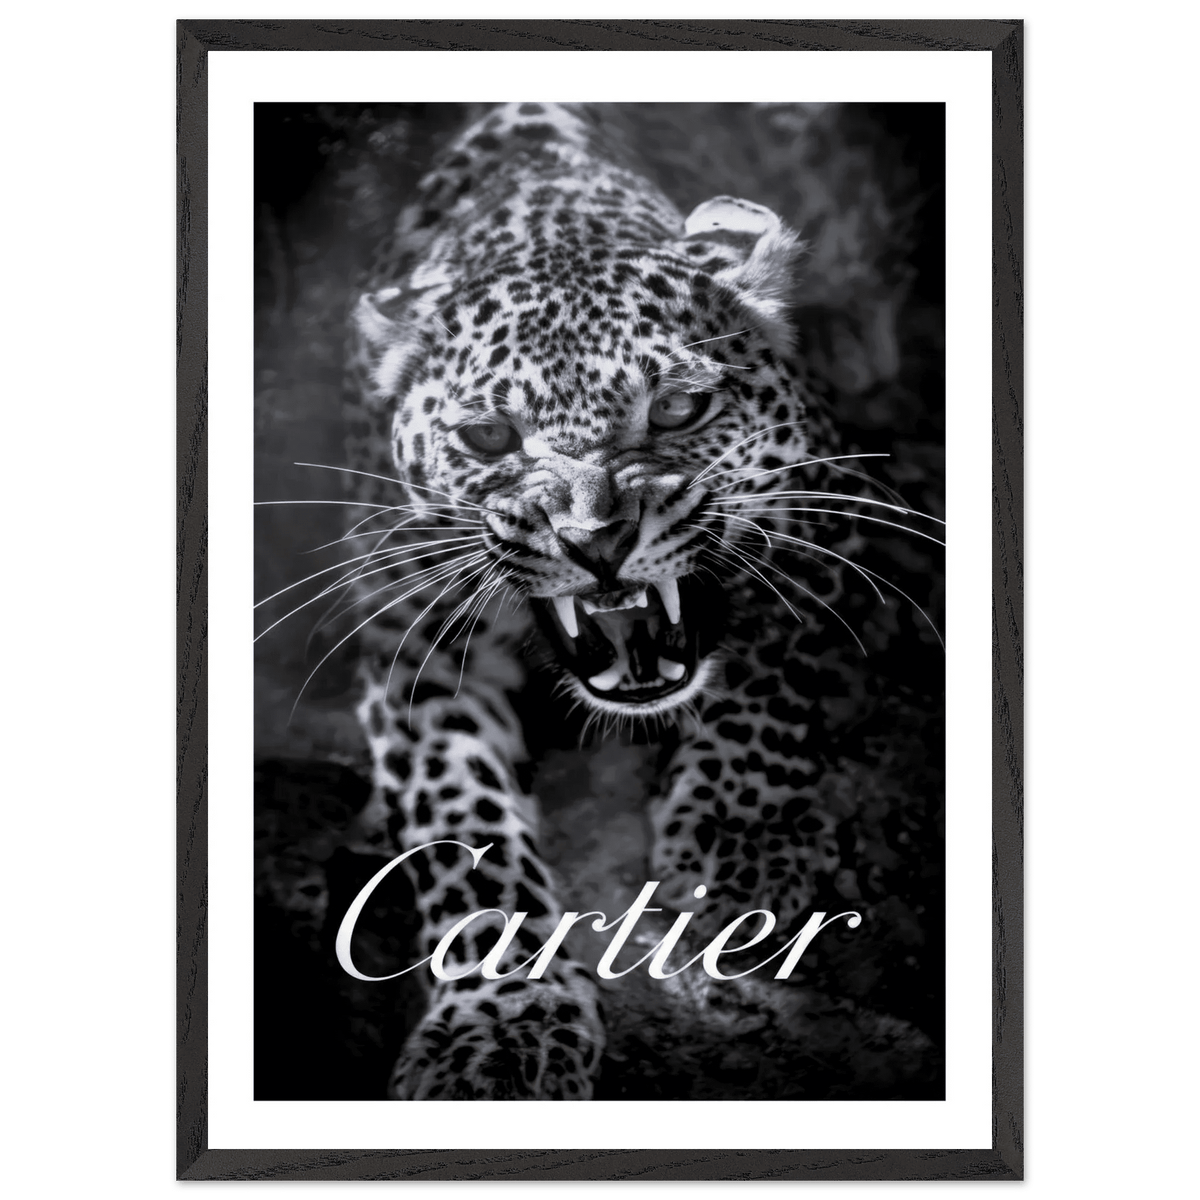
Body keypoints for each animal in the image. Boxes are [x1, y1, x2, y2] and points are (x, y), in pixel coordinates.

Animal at [260, 102, 943, 1101]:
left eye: (679, 410)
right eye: (487, 436)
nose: (596, 541)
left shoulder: (825, 507)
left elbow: (769, 679)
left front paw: (736, 853)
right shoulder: (410, 639)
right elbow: (461, 825)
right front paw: (500, 1022)